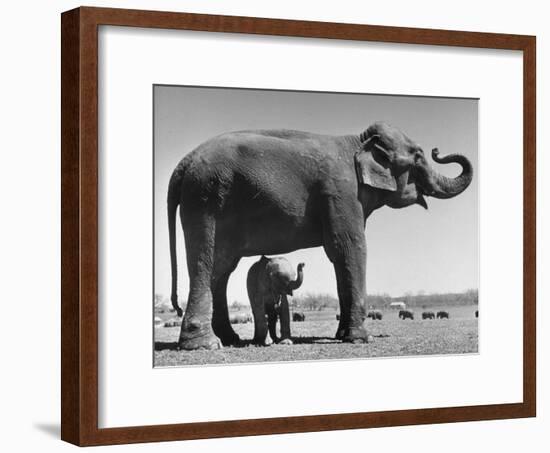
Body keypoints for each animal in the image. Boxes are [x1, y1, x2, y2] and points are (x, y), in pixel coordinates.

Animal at [168, 121, 474, 350]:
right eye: (418, 157)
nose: (437, 149)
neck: (358, 142)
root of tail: (183, 163)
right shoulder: (341, 193)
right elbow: (349, 247)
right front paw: (361, 339)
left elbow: (340, 256)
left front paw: (342, 336)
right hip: (205, 200)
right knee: (205, 263)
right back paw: (206, 345)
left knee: (222, 268)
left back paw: (229, 339)